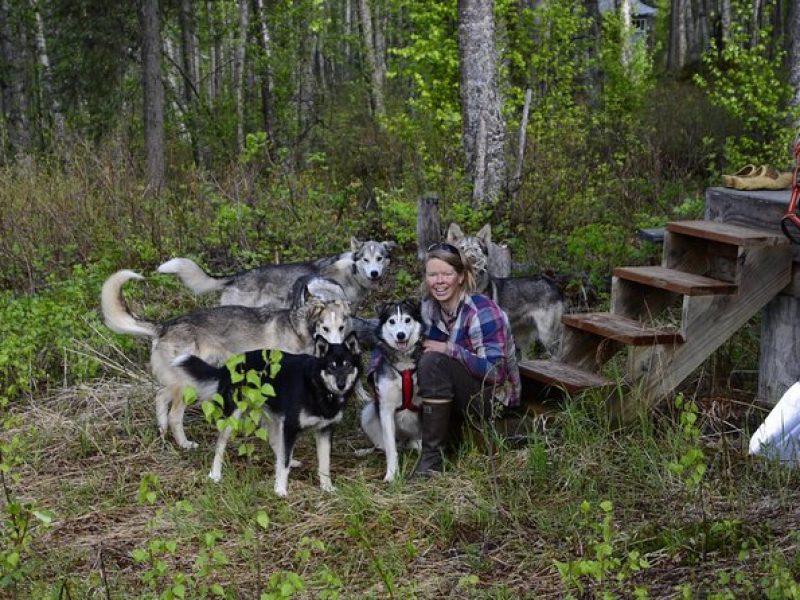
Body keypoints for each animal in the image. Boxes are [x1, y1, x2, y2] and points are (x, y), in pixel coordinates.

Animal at [100, 270, 350, 450]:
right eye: (325, 328)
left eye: (341, 327)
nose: (338, 350)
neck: (298, 329)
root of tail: (164, 326)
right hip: (187, 386)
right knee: (174, 417)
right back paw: (185, 444)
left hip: (176, 381)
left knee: (160, 398)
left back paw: (162, 434)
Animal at [178, 332, 362, 496]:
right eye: (331, 366)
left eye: (347, 365)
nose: (341, 385)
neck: (318, 386)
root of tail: (227, 366)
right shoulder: (290, 426)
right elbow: (284, 464)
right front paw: (280, 489)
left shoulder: (324, 430)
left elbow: (324, 464)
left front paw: (326, 487)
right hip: (233, 417)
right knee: (220, 444)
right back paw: (215, 474)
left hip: (273, 416)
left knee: (275, 441)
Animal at [360, 300, 424, 482]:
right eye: (392, 321)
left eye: (407, 320)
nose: (400, 335)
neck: (404, 365)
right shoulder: (386, 409)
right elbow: (390, 449)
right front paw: (391, 474)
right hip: (368, 412)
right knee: (383, 445)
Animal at [446, 223, 564, 358]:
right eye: (462, 248)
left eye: (476, 249)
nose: (471, 259)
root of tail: (549, 281)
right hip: (523, 339)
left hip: (546, 336)